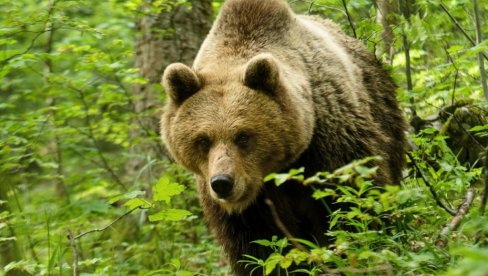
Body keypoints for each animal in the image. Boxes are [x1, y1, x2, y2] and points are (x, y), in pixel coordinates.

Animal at [161, 0, 408, 272]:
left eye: (243, 136)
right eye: (203, 140)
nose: (223, 182)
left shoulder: (330, 141)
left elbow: (350, 202)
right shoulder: (245, 205)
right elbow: (257, 244)